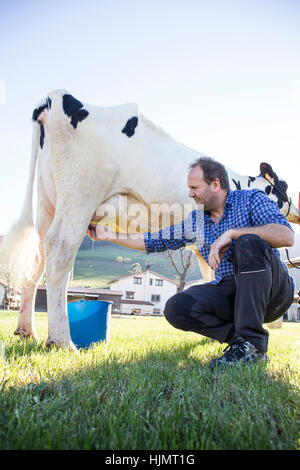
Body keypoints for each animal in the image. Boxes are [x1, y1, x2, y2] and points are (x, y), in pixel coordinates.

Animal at [0, 90, 298, 348]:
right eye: (284, 187)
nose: (296, 208)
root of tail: (55, 97)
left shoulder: (200, 247)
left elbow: (210, 273)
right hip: (79, 195)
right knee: (60, 250)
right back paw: (62, 341)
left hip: (48, 204)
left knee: (36, 260)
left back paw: (27, 331)